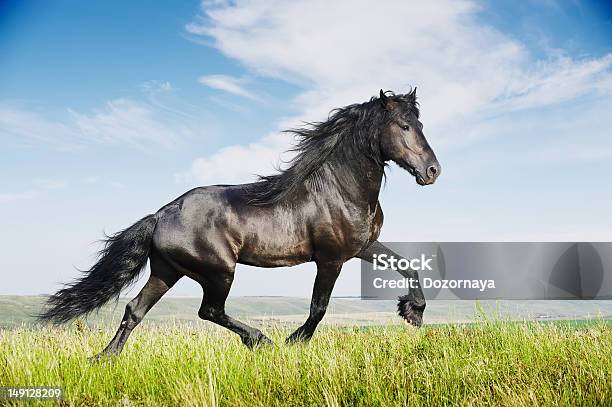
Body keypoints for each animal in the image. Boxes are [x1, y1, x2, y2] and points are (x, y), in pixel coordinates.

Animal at [39, 88, 440, 356]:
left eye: (420, 123)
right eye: (404, 125)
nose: (433, 171)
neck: (339, 188)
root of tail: (160, 215)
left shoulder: (362, 247)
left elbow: (408, 265)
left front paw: (413, 313)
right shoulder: (331, 259)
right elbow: (319, 307)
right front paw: (295, 341)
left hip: (167, 271)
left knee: (135, 310)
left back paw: (104, 359)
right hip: (218, 271)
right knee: (209, 310)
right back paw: (260, 340)